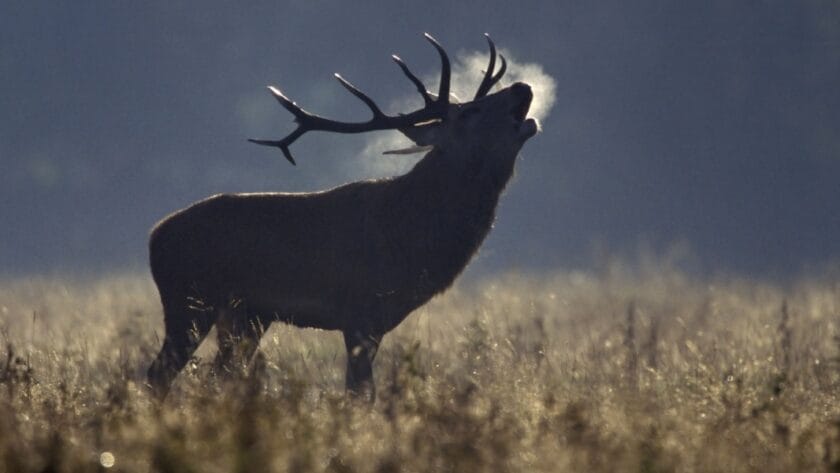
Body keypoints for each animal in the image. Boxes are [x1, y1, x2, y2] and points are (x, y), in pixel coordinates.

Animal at [146, 34, 539, 401]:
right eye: (469, 112)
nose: (522, 86)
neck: (413, 237)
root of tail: (154, 236)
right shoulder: (360, 313)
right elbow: (360, 394)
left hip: (248, 316)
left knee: (219, 376)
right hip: (189, 300)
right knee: (158, 374)